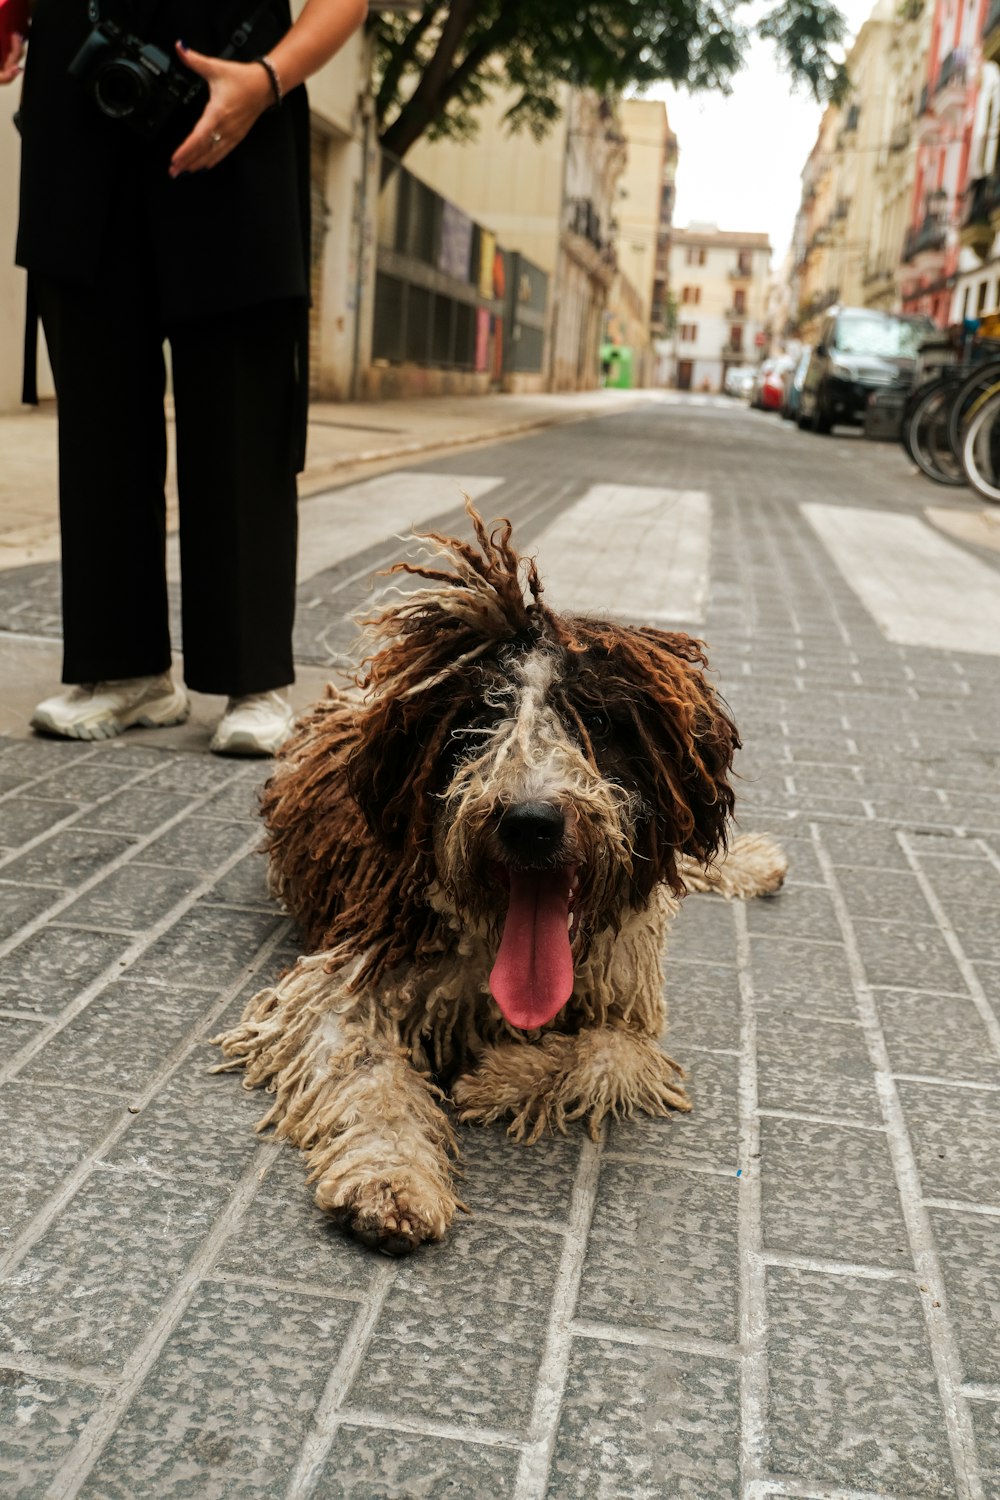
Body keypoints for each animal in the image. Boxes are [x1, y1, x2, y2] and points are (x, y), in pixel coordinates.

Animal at [215, 504, 785, 1254]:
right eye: (478, 720)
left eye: (595, 720)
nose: (530, 822)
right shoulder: (345, 984)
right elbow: (368, 1077)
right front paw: (391, 1180)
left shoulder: (628, 1003)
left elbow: (607, 1053)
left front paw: (497, 1077)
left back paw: (755, 862)